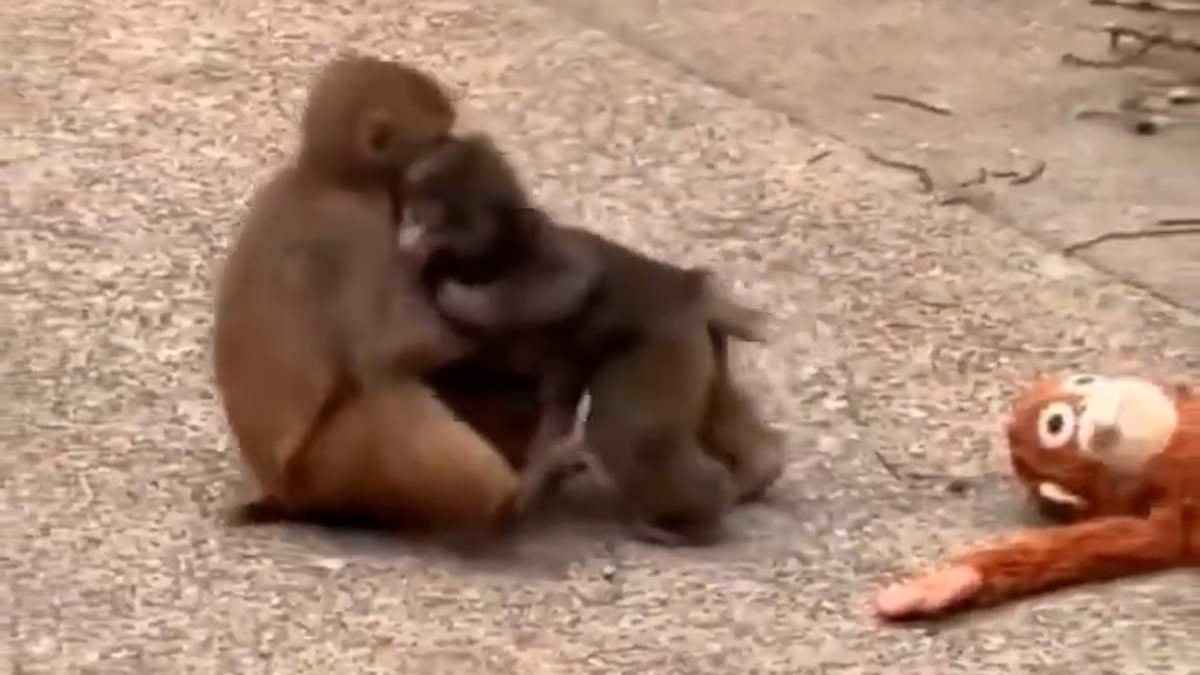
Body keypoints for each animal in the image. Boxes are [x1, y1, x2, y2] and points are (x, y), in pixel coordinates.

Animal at [213, 55, 531, 538]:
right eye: (438, 138)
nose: (454, 150)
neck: (327, 177)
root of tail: (281, 492)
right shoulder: (361, 232)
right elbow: (397, 348)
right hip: (334, 469)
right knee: (388, 397)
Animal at [395, 132, 781, 544]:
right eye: (415, 210)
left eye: (431, 215)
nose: (411, 230)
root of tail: (691, 292)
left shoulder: (548, 251)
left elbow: (571, 277)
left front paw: (459, 297)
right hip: (701, 347)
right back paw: (760, 468)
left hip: (664, 342)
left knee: (628, 433)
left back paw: (701, 512)